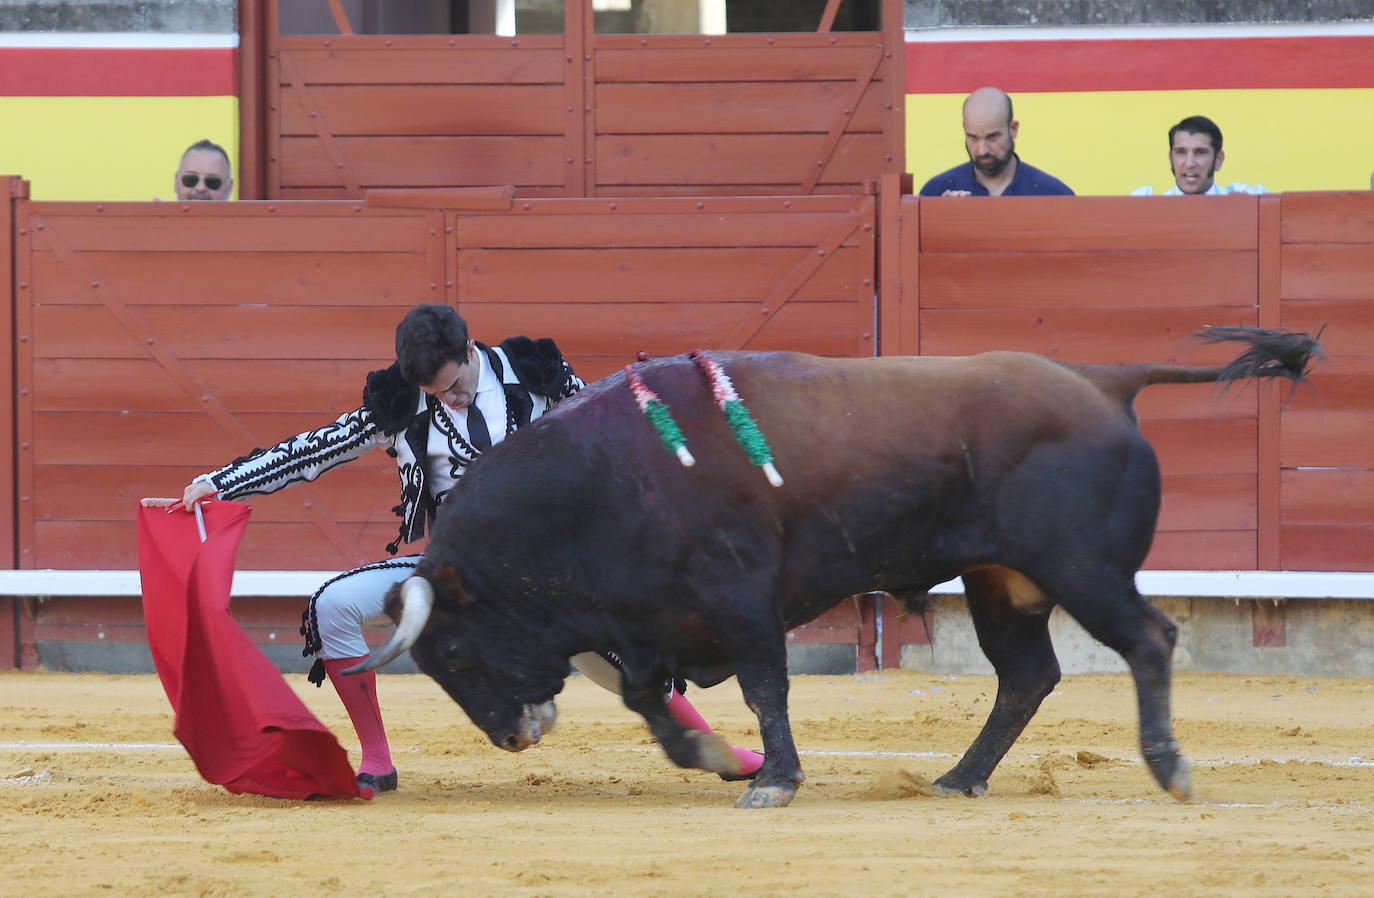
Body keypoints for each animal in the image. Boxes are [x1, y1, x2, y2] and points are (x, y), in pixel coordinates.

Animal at [351, 326, 1319, 812]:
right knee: (1027, 675)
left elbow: (764, 686)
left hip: (1083, 569)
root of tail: (1102, 382)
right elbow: (646, 697)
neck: (602, 481)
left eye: (453, 655)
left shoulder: (738, 595)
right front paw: (710, 755)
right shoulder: (646, 620)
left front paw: (773, 781)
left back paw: (1169, 768)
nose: (510, 738)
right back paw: (960, 777)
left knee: (1149, 640)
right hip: (1000, 582)